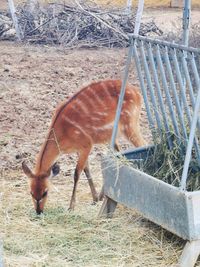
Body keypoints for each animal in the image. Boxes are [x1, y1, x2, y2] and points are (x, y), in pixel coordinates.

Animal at [21, 80, 146, 216]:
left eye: (45, 192)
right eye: (31, 192)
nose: (39, 211)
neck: (62, 133)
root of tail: (137, 92)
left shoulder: (87, 144)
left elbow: (76, 173)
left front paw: (71, 207)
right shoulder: (79, 149)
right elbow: (87, 169)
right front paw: (95, 199)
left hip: (130, 125)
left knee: (144, 145)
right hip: (112, 137)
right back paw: (103, 195)